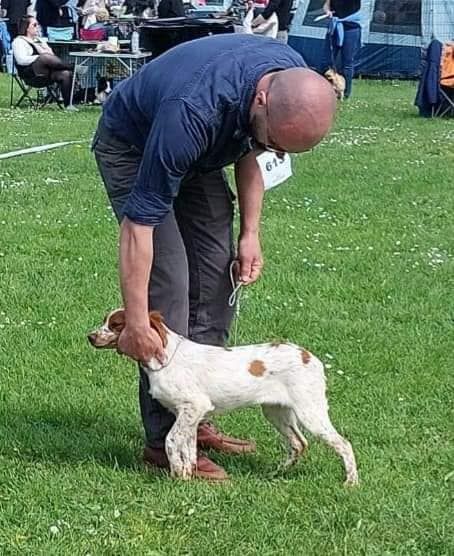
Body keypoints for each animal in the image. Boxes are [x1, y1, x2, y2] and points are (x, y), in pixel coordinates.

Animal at [88, 308, 358, 486]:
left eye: (115, 325)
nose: (89, 336)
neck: (162, 357)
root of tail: (310, 357)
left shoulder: (193, 407)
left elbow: (171, 441)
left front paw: (177, 477)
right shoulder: (188, 414)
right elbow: (189, 448)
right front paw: (188, 475)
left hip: (310, 411)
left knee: (343, 444)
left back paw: (351, 483)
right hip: (276, 411)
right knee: (299, 443)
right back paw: (277, 473)